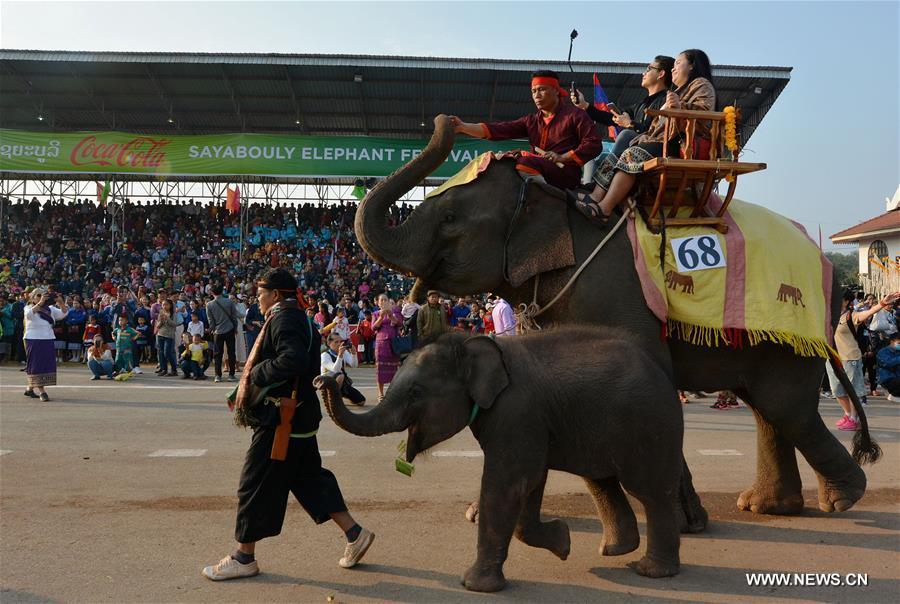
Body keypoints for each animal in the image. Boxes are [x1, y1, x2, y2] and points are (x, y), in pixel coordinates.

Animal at [315, 327, 684, 592]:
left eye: (416, 393)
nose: (325, 378)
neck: (472, 343)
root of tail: (664, 374)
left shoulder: (516, 413)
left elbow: (509, 483)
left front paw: (473, 585)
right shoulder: (528, 421)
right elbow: (529, 483)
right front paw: (563, 542)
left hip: (650, 428)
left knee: (651, 493)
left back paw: (651, 571)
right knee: (601, 481)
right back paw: (613, 552)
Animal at [353, 115, 881, 526]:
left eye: (450, 219)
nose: (444, 120)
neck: (556, 199)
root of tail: (822, 258)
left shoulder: (615, 288)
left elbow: (649, 377)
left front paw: (682, 522)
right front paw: (482, 513)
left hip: (798, 323)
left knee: (785, 406)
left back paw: (841, 499)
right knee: (768, 408)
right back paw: (767, 507)